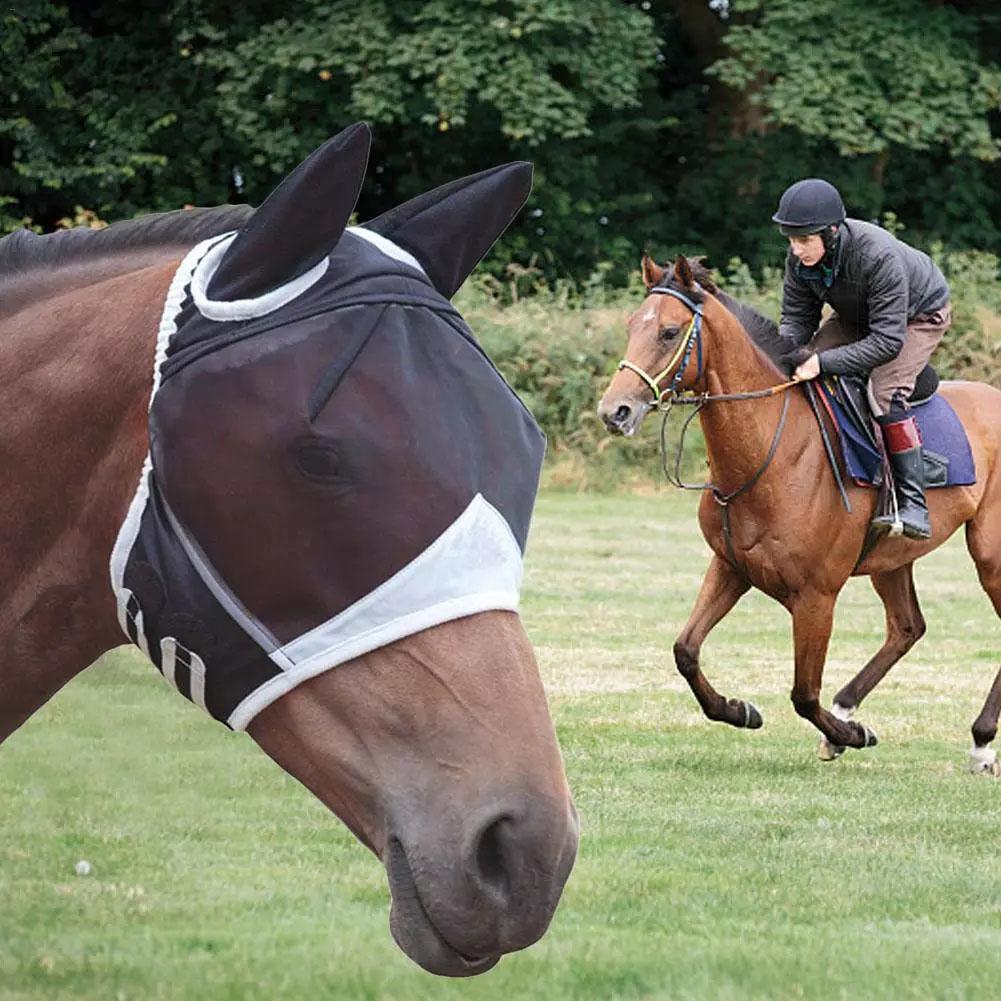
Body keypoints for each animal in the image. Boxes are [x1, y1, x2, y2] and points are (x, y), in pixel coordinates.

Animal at [598, 253, 1001, 773]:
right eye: (632, 325)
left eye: (669, 332)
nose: (615, 411)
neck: (774, 452)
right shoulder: (730, 567)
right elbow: (685, 650)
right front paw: (740, 710)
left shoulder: (816, 596)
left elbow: (804, 694)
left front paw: (851, 734)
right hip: (891, 559)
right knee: (907, 627)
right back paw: (848, 706)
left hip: (990, 553)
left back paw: (979, 740)